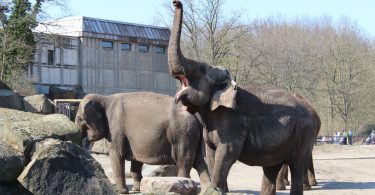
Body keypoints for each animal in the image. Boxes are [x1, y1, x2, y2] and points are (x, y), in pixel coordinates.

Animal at [75, 92, 212, 193]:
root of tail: (196, 117)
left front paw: (121, 191)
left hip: (182, 134)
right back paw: (207, 191)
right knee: (199, 161)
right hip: (192, 136)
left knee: (183, 162)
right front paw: (136, 189)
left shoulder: (116, 128)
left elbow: (117, 155)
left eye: (79, 119)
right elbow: (136, 162)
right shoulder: (134, 140)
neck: (105, 98)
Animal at [169, 0, 322, 194]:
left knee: (296, 165)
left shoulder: (232, 123)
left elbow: (227, 153)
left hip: (304, 132)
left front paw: (216, 189)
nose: (176, 2)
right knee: (270, 168)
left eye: (200, 70)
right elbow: (211, 156)